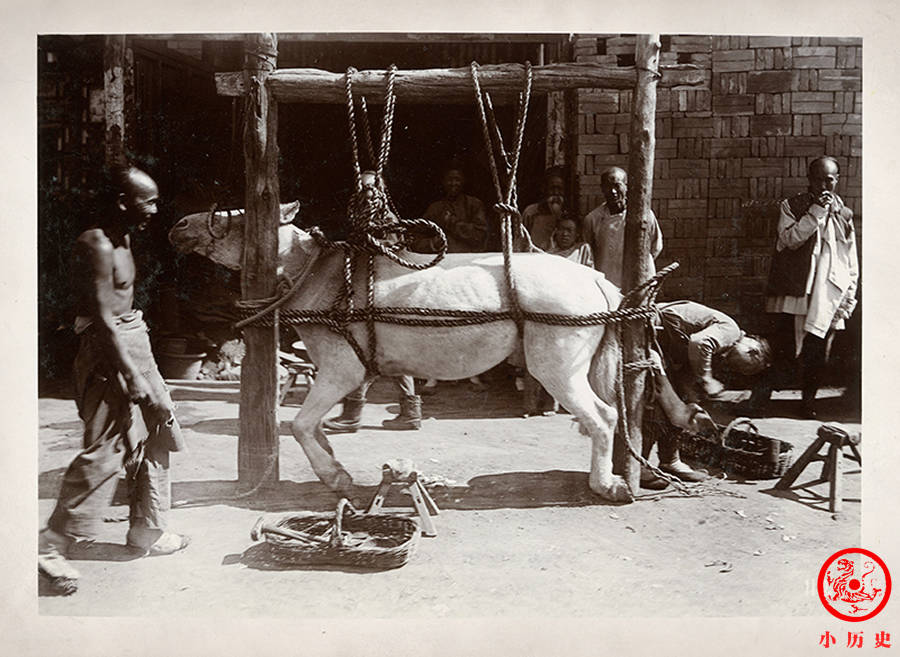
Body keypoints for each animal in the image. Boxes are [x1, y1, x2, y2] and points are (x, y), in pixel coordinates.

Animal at [167, 205, 704, 502]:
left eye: (236, 217)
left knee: (601, 416)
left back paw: (605, 486)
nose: (178, 226)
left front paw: (336, 477)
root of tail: (597, 281)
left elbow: (300, 425)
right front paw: (336, 463)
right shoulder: (348, 371)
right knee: (609, 414)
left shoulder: (341, 369)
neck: (316, 274)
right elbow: (314, 424)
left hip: (557, 366)